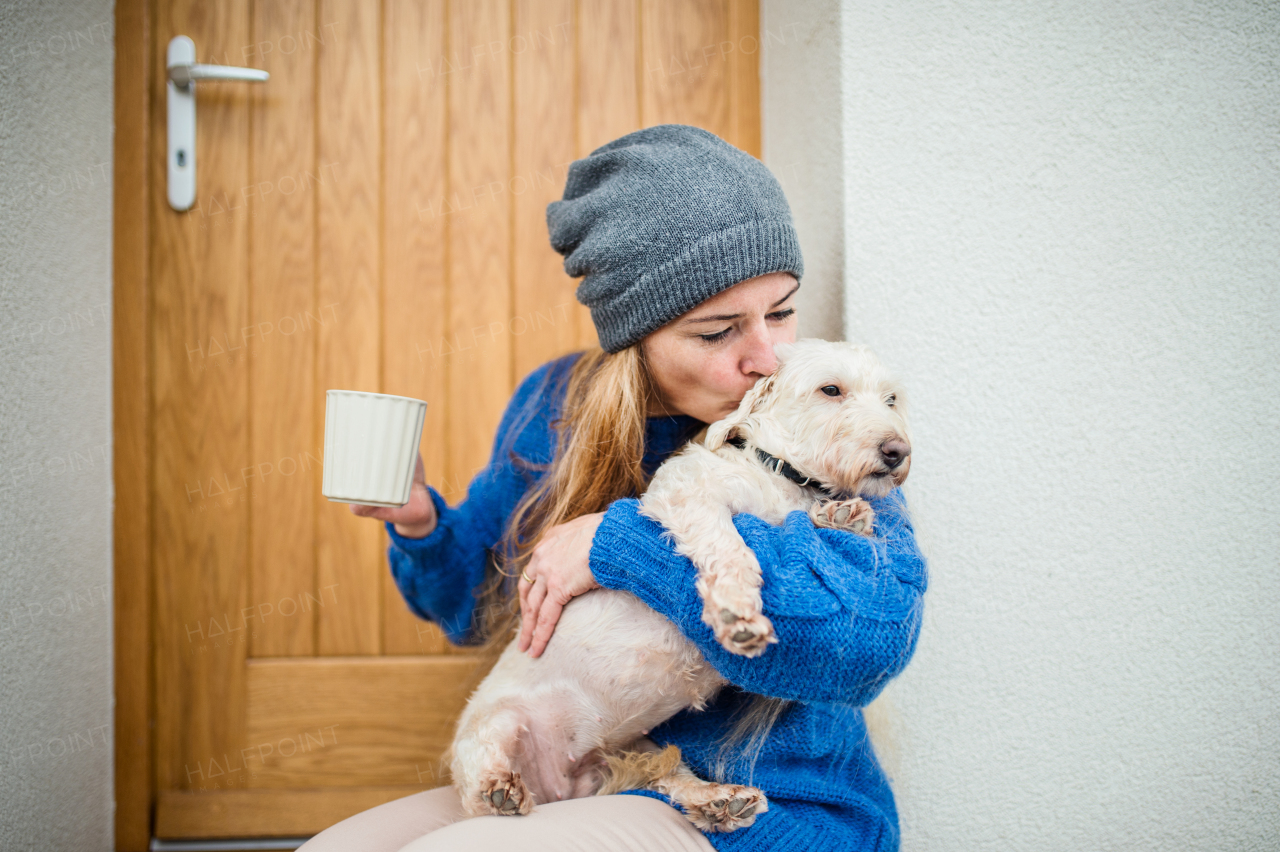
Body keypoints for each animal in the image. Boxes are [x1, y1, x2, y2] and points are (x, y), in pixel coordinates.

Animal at [448, 337, 911, 828]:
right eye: (831, 389)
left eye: (891, 399)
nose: (897, 451)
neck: (780, 474)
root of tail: (559, 788)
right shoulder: (688, 494)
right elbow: (731, 547)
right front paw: (736, 611)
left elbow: (797, 521)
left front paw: (840, 514)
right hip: (495, 725)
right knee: (478, 783)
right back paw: (498, 790)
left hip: (638, 750)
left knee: (670, 779)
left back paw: (718, 800)